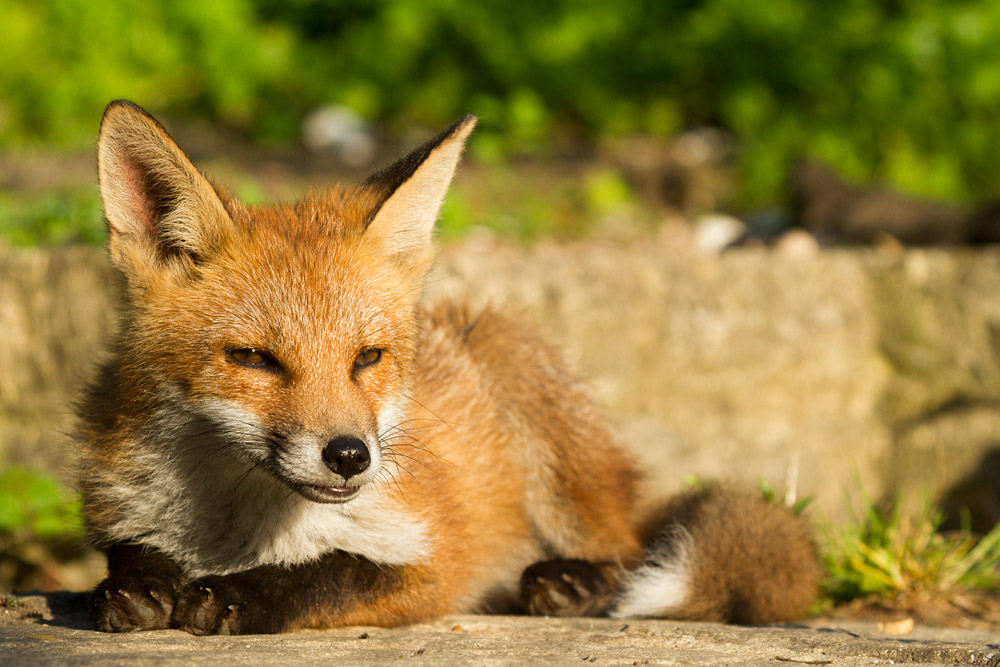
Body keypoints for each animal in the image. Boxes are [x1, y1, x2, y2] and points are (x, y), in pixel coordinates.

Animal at [80, 100, 820, 635]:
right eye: (253, 358)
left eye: (368, 358)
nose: (350, 455)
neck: (238, 527)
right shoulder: (122, 508)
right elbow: (128, 556)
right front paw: (141, 586)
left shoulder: (437, 560)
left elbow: (335, 571)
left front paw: (238, 596)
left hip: (541, 422)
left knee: (628, 553)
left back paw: (572, 583)